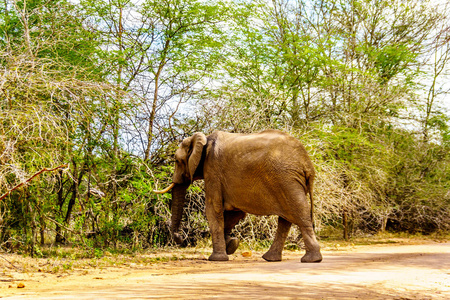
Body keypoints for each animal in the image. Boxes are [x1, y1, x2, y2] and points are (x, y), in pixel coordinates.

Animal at [155, 129, 324, 262]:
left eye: (177, 161)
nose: (180, 238)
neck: (204, 139)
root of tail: (307, 163)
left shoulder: (212, 169)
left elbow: (213, 210)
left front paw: (217, 259)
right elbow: (233, 214)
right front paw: (232, 245)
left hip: (286, 179)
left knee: (300, 215)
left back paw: (311, 260)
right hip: (288, 182)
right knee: (286, 219)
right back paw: (271, 258)